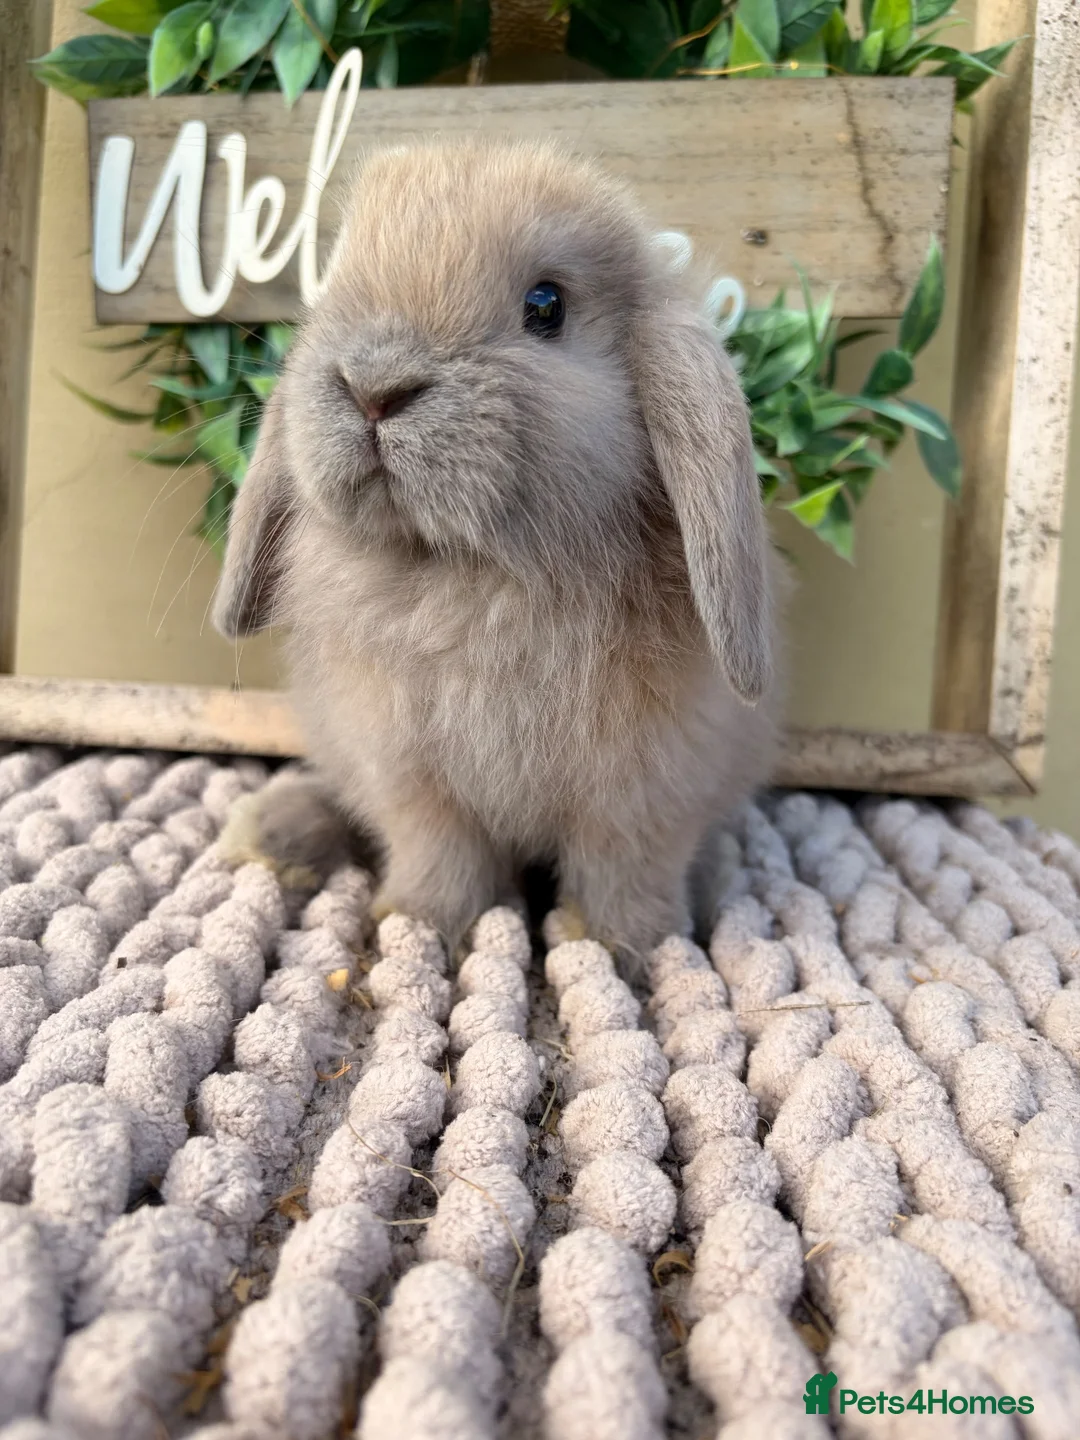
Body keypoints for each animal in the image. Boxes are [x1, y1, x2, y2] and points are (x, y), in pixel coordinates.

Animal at [213, 137, 783, 968]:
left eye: (546, 307)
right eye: (334, 280)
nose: (373, 388)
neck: (469, 573)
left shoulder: (646, 784)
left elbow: (624, 865)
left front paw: (621, 945)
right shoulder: (409, 772)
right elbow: (439, 851)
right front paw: (418, 926)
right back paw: (270, 835)